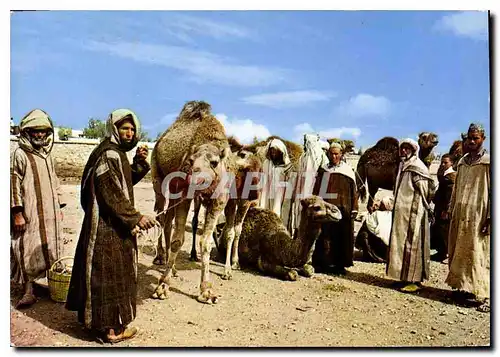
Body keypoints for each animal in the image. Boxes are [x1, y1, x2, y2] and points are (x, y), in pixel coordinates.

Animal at [149, 100, 231, 304]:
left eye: (214, 162)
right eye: (191, 160)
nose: (195, 179)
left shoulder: (218, 202)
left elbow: (206, 243)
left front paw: (206, 291)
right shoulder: (183, 195)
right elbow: (178, 240)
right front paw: (162, 287)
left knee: (167, 220)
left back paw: (173, 268)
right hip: (158, 177)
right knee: (161, 217)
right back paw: (161, 258)